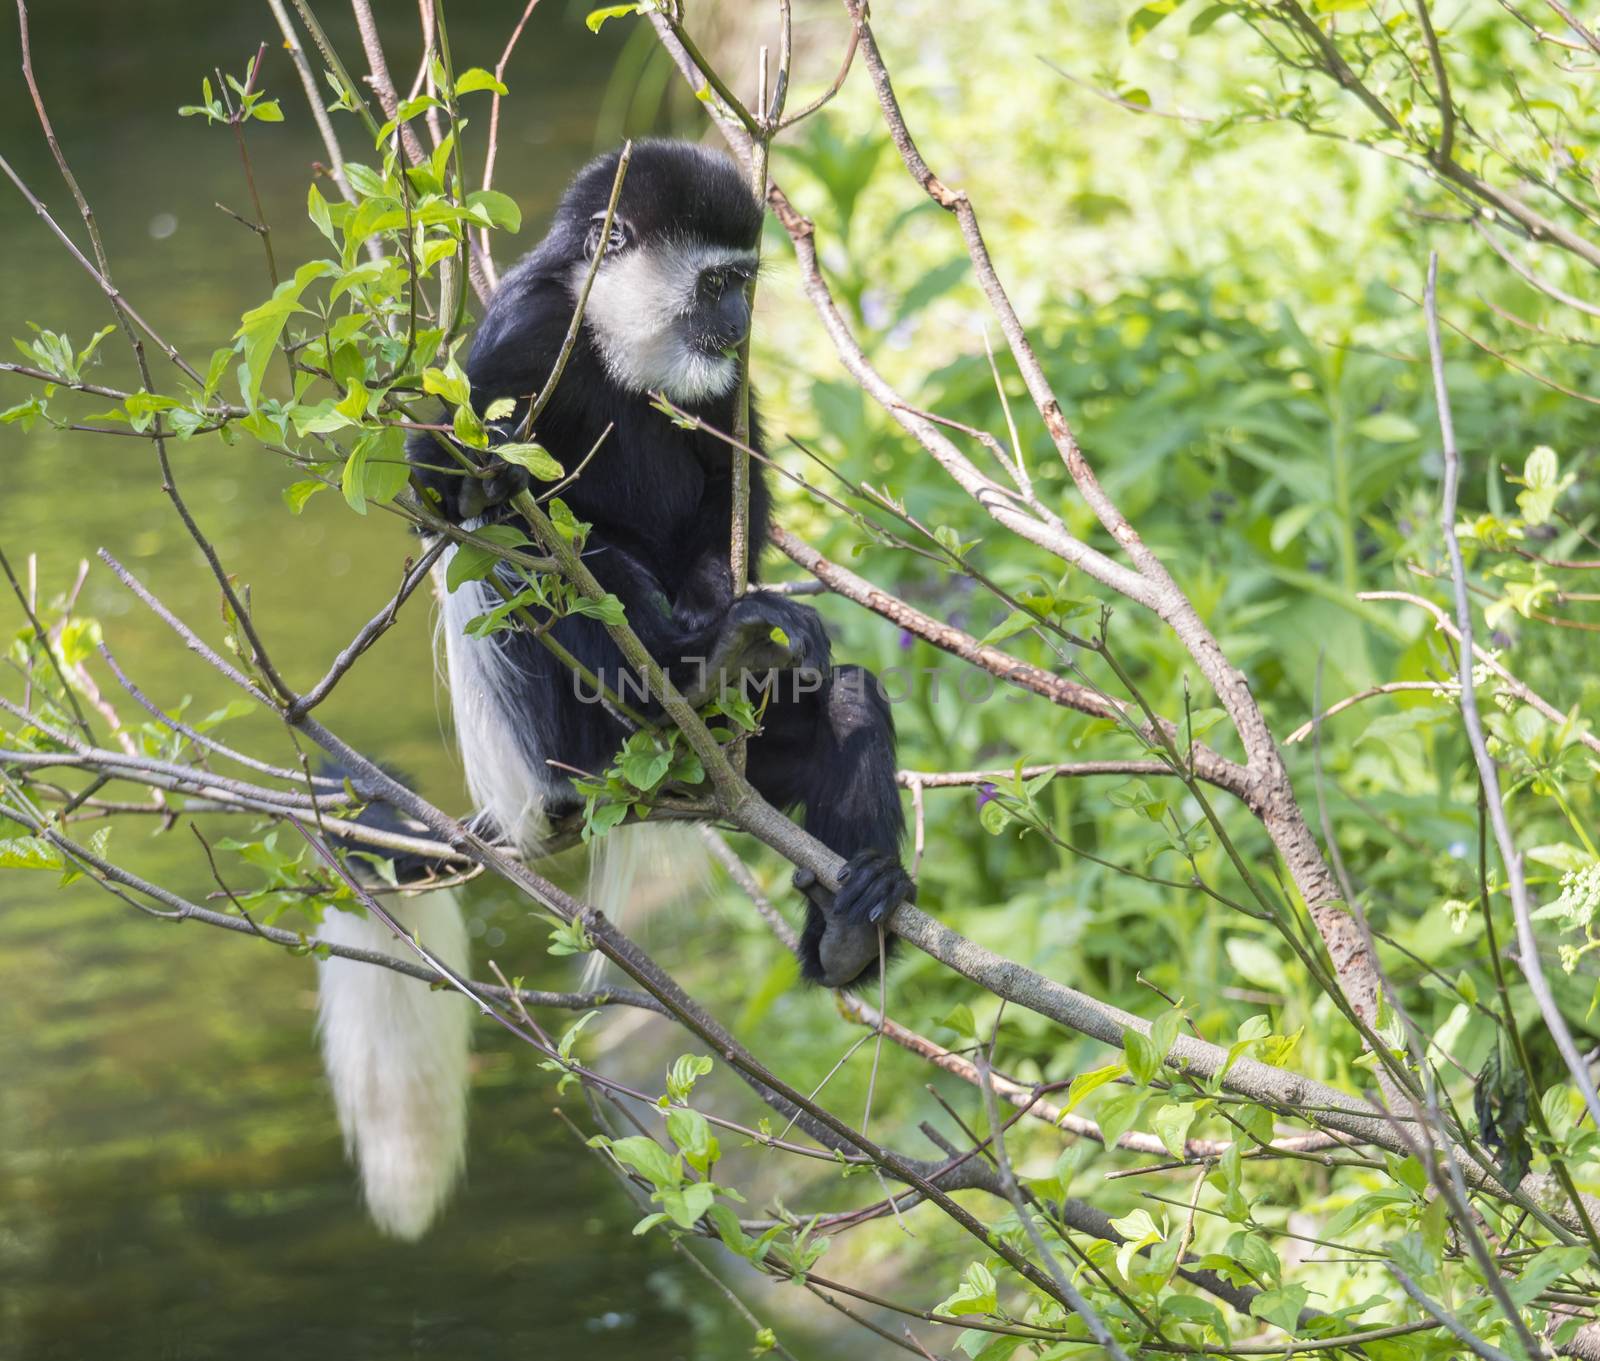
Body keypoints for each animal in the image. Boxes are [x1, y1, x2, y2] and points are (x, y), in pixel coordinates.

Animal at [312, 140, 915, 1247]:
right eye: (716, 285)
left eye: (744, 281)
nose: (739, 321)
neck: (608, 344)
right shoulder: (523, 336)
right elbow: (455, 492)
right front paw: (707, 624)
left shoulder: (718, 389)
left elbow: (731, 500)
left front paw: (747, 616)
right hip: (564, 738)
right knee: (535, 551)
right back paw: (681, 666)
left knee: (847, 701)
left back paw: (850, 920)